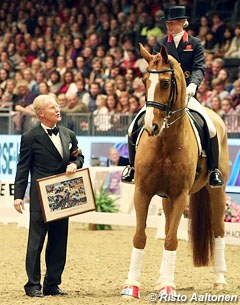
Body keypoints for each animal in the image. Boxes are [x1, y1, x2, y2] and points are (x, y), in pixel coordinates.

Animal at [122, 44, 229, 298]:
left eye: (164, 83)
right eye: (144, 81)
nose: (150, 126)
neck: (165, 140)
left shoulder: (181, 195)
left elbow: (171, 240)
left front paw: (168, 288)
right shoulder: (143, 191)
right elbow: (140, 237)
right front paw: (132, 285)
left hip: (216, 191)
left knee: (218, 230)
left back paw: (219, 279)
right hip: (166, 197)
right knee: (168, 223)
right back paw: (161, 280)